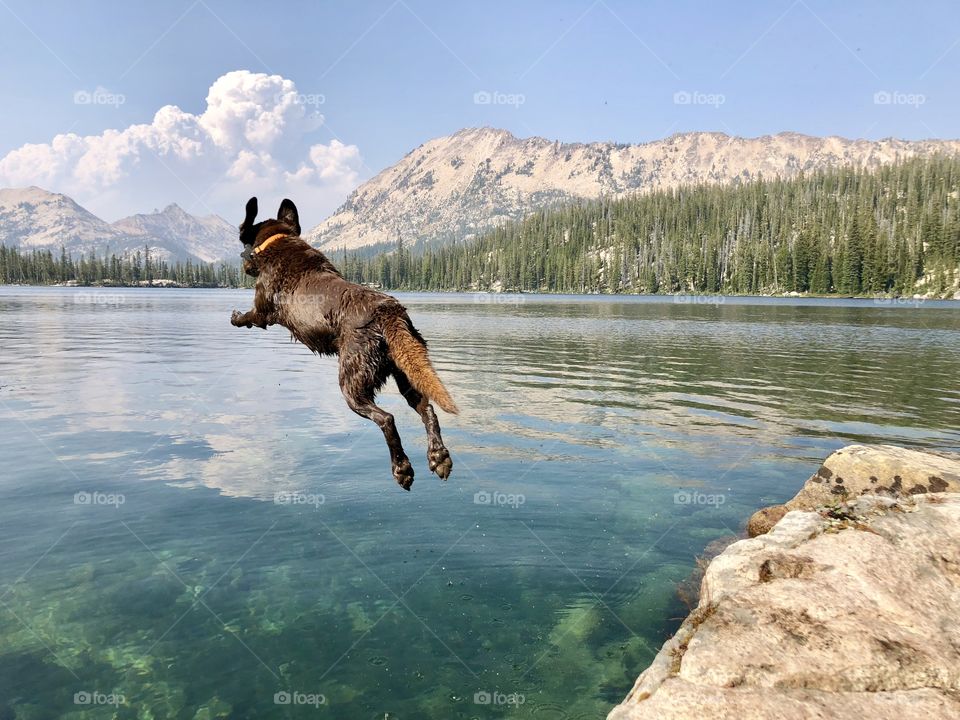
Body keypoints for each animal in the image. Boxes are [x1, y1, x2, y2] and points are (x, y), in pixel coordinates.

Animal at [232, 197, 458, 490]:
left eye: (243, 247)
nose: (243, 266)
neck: (277, 241)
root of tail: (389, 312)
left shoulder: (262, 311)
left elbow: (248, 317)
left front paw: (235, 316)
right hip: (406, 370)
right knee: (427, 410)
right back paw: (438, 457)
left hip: (353, 381)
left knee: (387, 419)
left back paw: (402, 468)